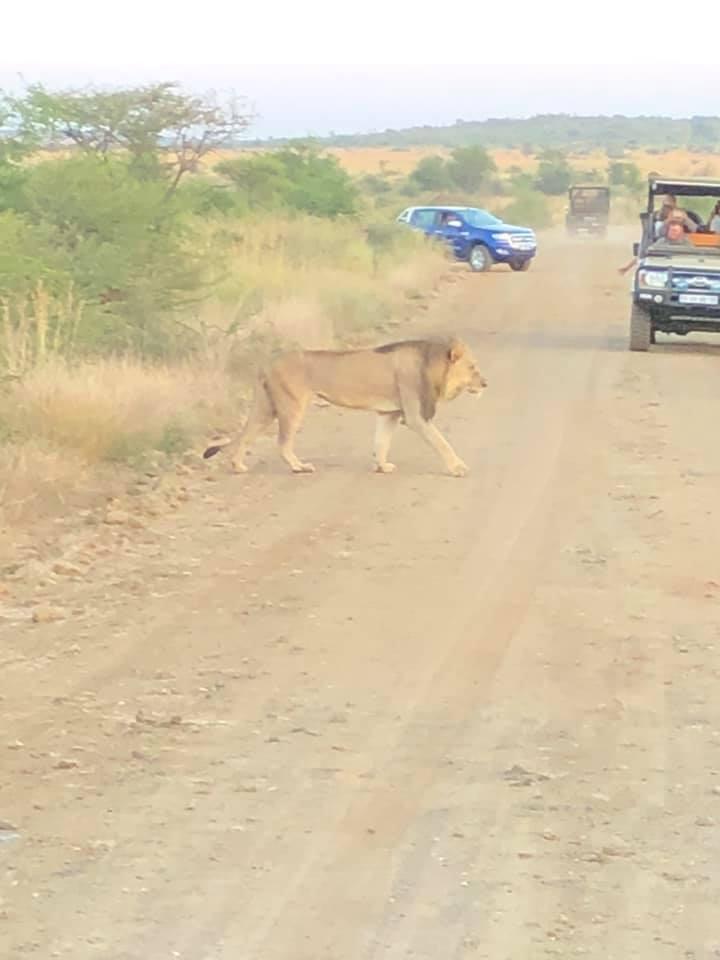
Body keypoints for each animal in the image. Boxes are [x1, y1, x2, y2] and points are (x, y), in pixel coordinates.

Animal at [203, 336, 487, 477]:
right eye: (473, 367)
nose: (485, 383)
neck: (432, 364)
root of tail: (268, 363)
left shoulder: (389, 413)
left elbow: (381, 442)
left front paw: (382, 467)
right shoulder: (415, 416)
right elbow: (442, 442)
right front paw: (458, 468)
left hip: (266, 407)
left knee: (245, 436)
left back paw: (238, 466)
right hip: (292, 406)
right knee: (282, 442)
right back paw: (299, 467)